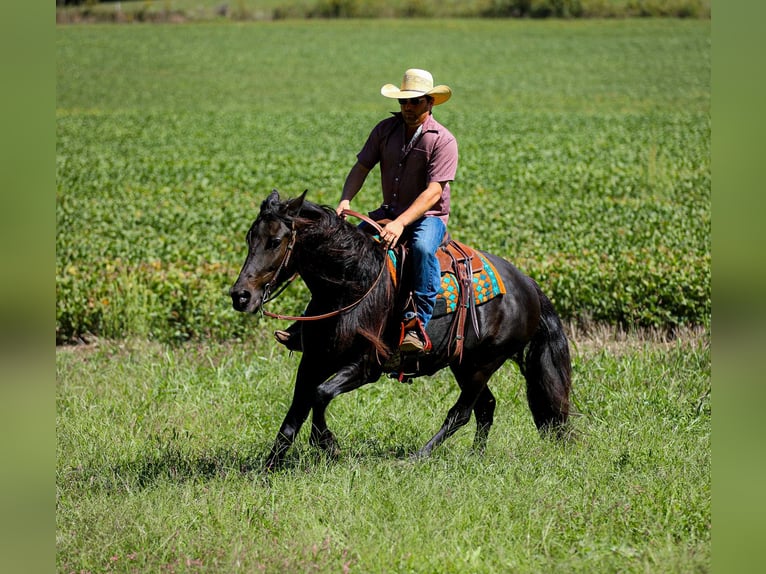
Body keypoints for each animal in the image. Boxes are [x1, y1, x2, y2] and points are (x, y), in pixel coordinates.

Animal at [230, 190, 572, 471]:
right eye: (249, 238)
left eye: (275, 241)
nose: (240, 296)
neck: (351, 285)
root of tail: (527, 284)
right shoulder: (313, 360)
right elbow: (294, 413)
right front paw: (269, 468)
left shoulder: (366, 366)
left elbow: (319, 395)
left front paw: (328, 445)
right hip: (464, 363)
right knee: (485, 408)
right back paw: (475, 456)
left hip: (484, 363)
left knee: (461, 412)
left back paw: (417, 457)